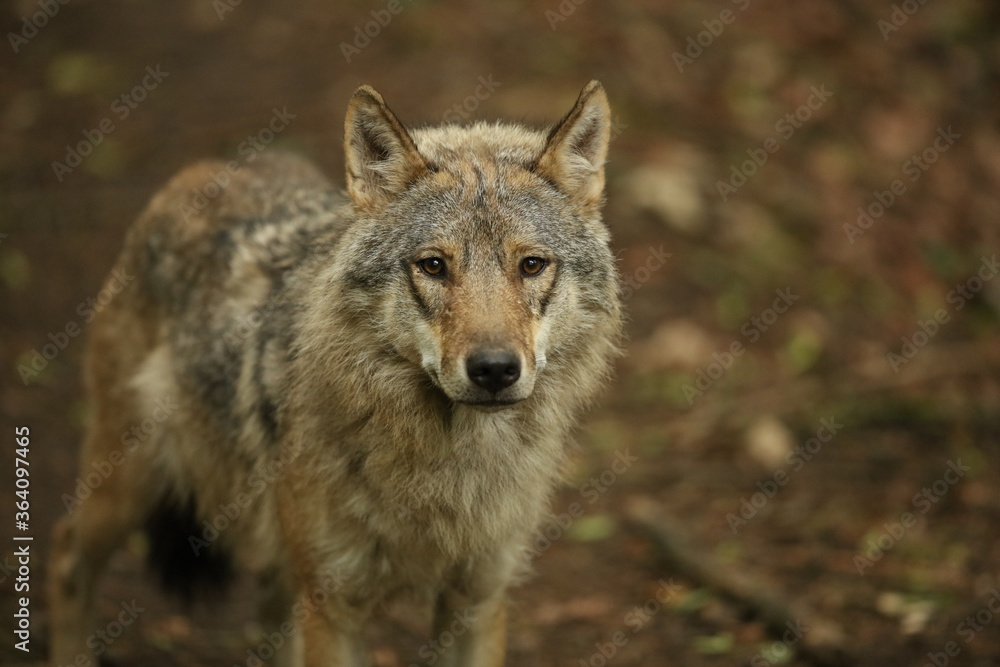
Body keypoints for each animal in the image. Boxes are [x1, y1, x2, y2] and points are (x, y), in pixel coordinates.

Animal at [48, 81, 624, 664]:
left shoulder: (478, 601)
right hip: (129, 485)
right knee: (64, 551)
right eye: (433, 266)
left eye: (531, 265)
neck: (448, 472)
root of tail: (209, 168)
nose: (494, 369)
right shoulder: (332, 607)